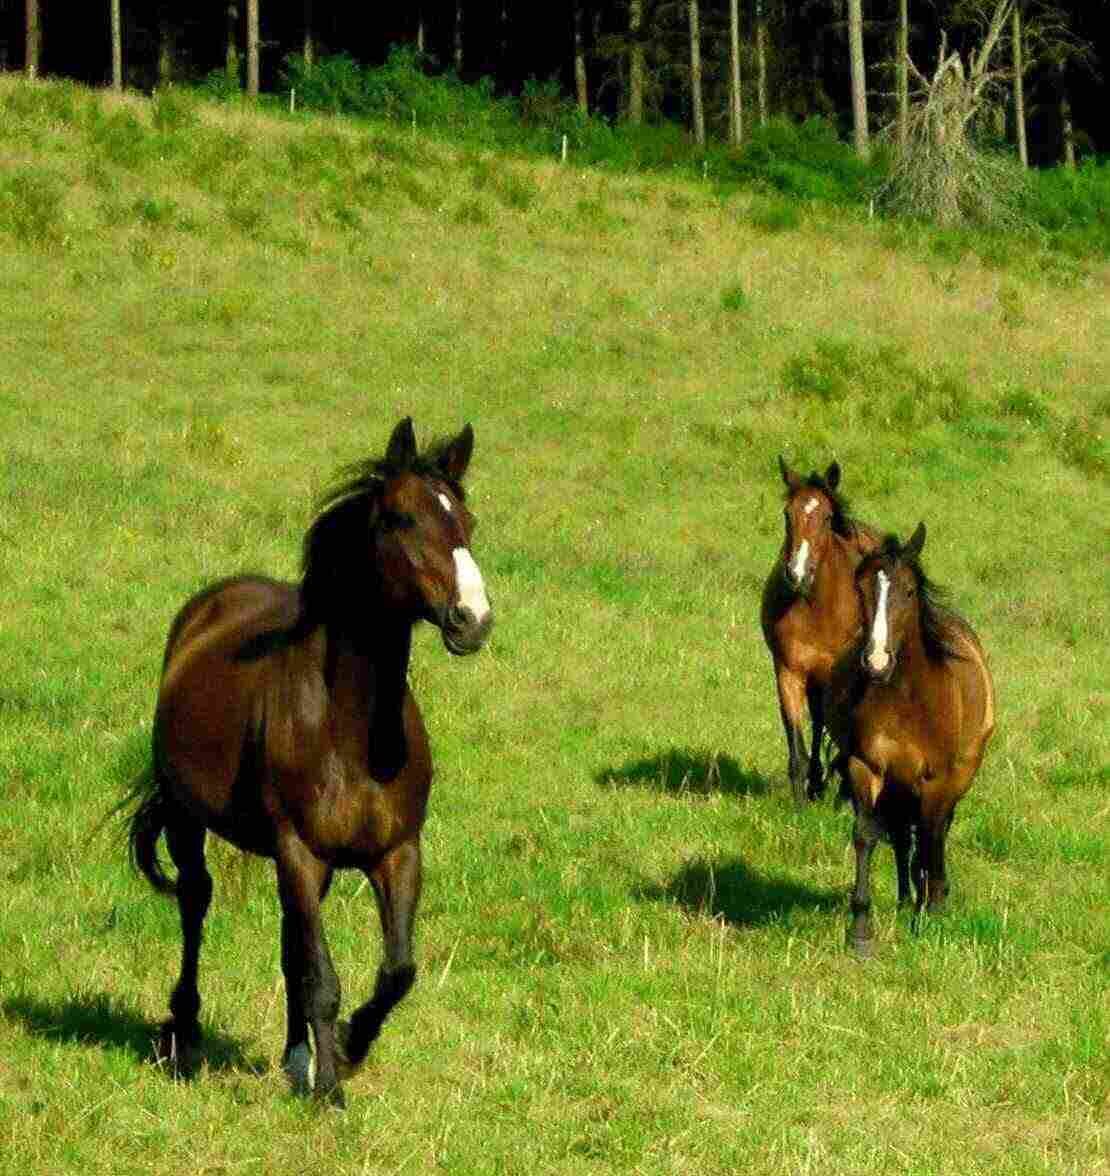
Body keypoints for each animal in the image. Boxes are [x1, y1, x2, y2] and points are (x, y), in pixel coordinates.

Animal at [118, 418, 493, 1105]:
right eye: (401, 518)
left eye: (466, 522)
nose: (472, 620)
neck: (350, 732)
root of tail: (204, 610)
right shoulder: (300, 850)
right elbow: (322, 974)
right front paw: (331, 1091)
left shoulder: (397, 852)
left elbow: (397, 969)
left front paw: (345, 1049)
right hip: (190, 821)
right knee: (196, 903)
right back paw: (184, 1032)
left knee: (290, 937)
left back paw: (297, 1058)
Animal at [757, 453, 879, 804]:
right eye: (788, 515)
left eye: (826, 517)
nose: (796, 573)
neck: (818, 610)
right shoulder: (789, 672)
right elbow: (797, 743)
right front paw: (802, 801)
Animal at [823, 524, 997, 954]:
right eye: (861, 589)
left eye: (908, 591)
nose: (876, 662)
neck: (907, 698)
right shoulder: (865, 766)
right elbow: (866, 836)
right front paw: (861, 930)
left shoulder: (937, 779)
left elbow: (932, 836)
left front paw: (932, 913)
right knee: (904, 836)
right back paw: (906, 899)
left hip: (954, 778)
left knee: (934, 833)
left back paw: (928, 898)